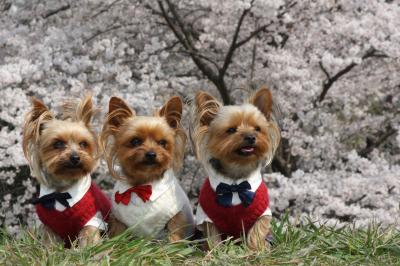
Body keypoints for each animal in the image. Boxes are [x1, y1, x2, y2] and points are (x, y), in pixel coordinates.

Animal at [22, 95, 111, 247]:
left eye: (83, 144)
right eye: (58, 144)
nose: (75, 157)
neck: (62, 191)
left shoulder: (93, 219)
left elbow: (89, 235)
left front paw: (88, 249)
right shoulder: (50, 226)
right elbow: (50, 242)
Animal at [190, 87, 278, 249]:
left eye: (257, 128)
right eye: (231, 130)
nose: (251, 137)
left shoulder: (262, 214)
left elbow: (257, 232)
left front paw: (256, 250)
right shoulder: (207, 217)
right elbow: (213, 236)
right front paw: (215, 251)